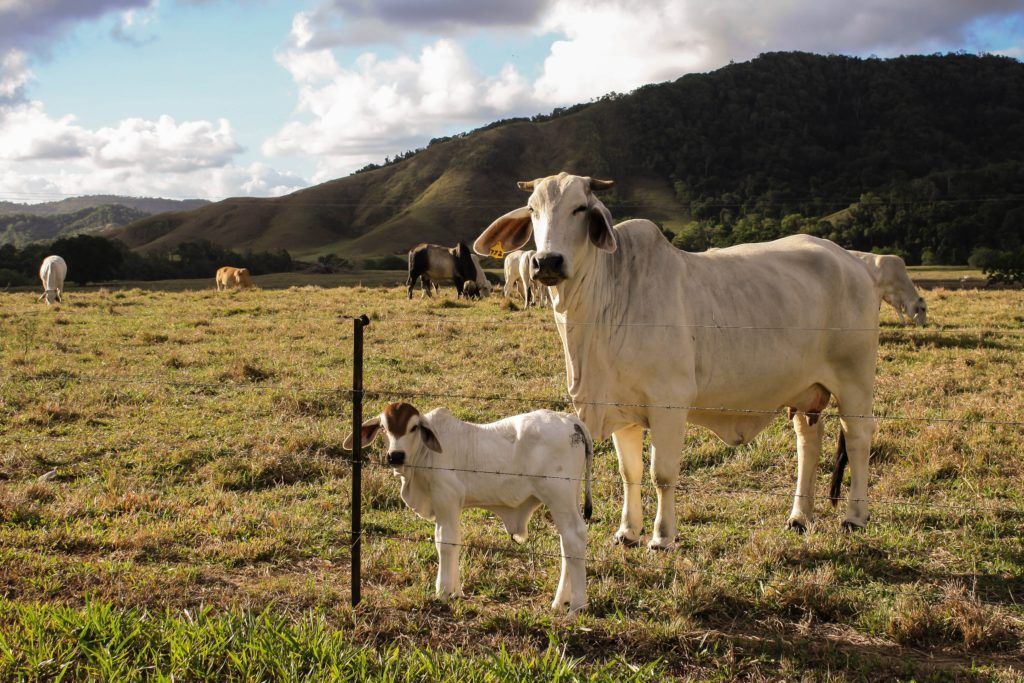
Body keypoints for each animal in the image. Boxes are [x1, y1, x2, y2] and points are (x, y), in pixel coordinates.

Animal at [344, 402, 594, 613]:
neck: (422, 457)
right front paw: (455, 592)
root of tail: (570, 420)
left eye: (413, 427)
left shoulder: (446, 497)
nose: (395, 456)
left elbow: (445, 542)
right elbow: (452, 540)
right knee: (567, 543)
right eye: (384, 428)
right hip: (566, 499)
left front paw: (443, 592)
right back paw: (561, 601)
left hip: (558, 495)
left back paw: (577, 606)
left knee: (573, 537)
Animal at [474, 173, 880, 549]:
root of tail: (852, 261)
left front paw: (662, 536)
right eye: (532, 209)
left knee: (858, 439)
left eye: (580, 208)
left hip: (855, 381)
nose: (546, 261)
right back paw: (799, 516)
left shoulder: (669, 405)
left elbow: (662, 475)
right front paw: (627, 532)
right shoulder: (620, 409)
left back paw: (855, 516)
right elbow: (629, 472)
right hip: (806, 390)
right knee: (808, 441)